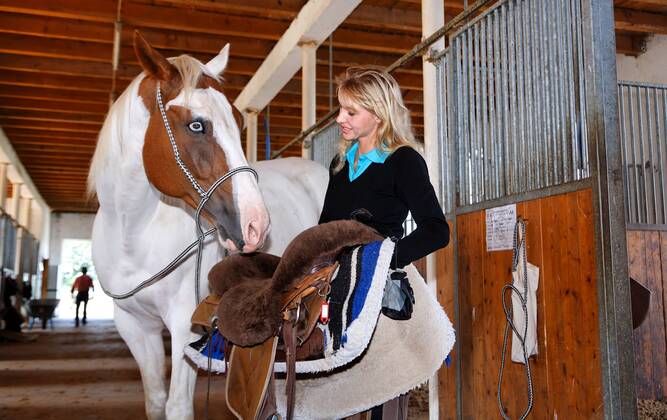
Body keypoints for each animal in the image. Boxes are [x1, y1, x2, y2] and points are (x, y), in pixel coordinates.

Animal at [88, 32, 328, 420]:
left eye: (239, 122)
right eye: (196, 125)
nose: (256, 224)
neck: (133, 237)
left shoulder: (184, 323)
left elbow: (178, 406)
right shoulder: (135, 327)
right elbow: (156, 401)